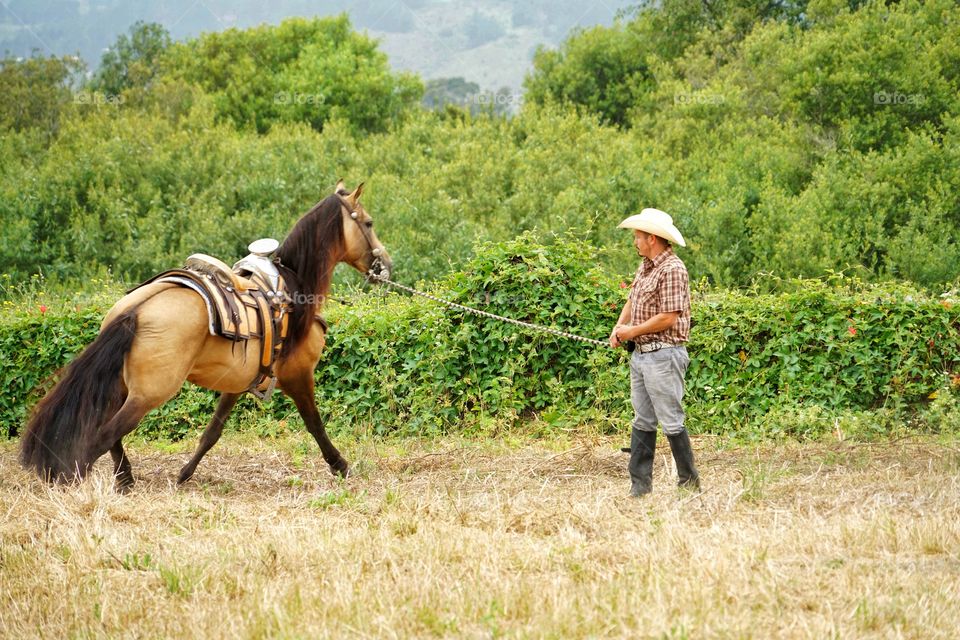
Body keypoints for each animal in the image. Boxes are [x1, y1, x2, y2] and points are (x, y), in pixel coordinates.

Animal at [15, 180, 390, 490]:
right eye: (369, 223)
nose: (385, 265)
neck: (292, 289)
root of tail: (136, 309)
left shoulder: (237, 383)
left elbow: (212, 431)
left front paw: (184, 474)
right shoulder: (298, 375)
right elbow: (315, 424)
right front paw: (340, 465)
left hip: (123, 388)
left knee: (110, 435)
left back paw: (125, 480)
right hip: (149, 393)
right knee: (103, 436)